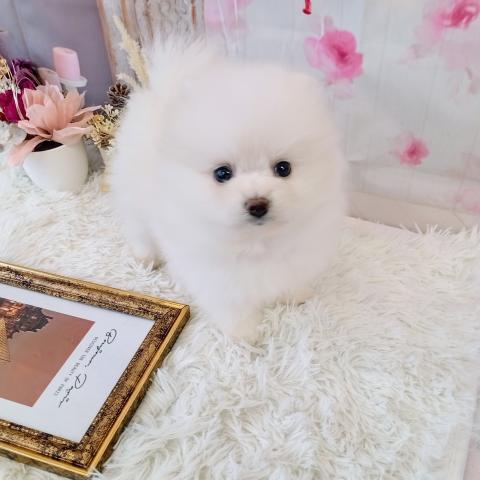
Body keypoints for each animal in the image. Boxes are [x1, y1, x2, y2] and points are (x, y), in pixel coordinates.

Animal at [110, 40, 346, 343]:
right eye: (222, 174)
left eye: (284, 169)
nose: (258, 204)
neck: (256, 242)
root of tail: (161, 91)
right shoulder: (216, 275)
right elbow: (232, 305)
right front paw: (244, 333)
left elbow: (288, 276)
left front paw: (295, 294)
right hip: (133, 196)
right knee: (138, 228)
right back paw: (146, 256)